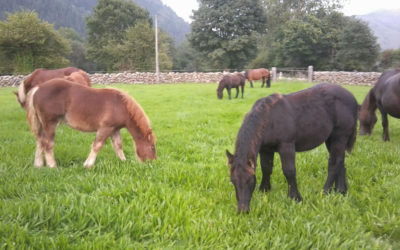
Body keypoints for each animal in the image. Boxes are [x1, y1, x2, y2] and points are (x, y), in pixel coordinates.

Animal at [25, 78, 156, 168]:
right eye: (152, 147)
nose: (153, 162)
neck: (120, 105)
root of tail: (37, 88)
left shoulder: (114, 129)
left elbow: (118, 146)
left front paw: (124, 162)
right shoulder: (106, 128)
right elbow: (97, 145)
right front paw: (88, 165)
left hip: (42, 124)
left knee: (40, 141)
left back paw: (38, 165)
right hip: (50, 123)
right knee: (47, 143)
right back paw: (53, 166)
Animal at [227, 83, 358, 214]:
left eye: (250, 180)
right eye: (232, 181)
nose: (242, 210)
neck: (269, 118)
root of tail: (352, 98)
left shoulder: (286, 146)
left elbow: (289, 171)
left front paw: (295, 197)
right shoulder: (265, 149)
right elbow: (266, 169)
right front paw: (264, 189)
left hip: (339, 136)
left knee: (334, 163)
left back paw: (325, 191)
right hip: (331, 139)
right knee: (340, 161)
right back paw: (341, 190)